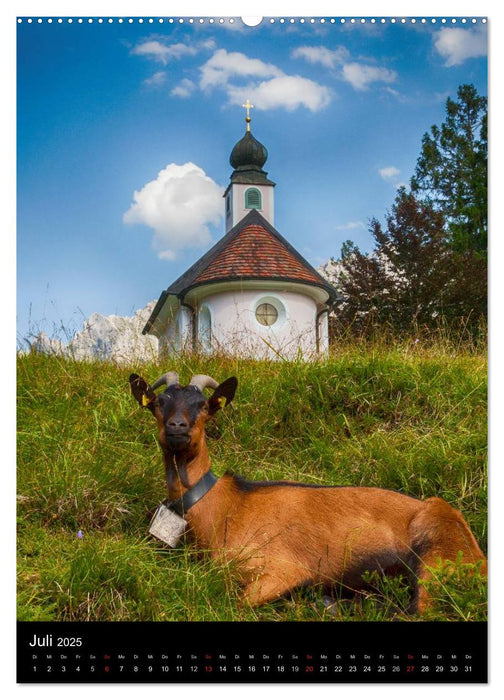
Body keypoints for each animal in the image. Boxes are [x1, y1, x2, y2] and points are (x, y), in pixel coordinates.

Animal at [129, 372, 484, 612]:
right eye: (159, 402)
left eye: (204, 405)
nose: (177, 428)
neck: (222, 508)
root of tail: (479, 558)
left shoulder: (280, 570)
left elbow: (234, 602)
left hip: (434, 554)